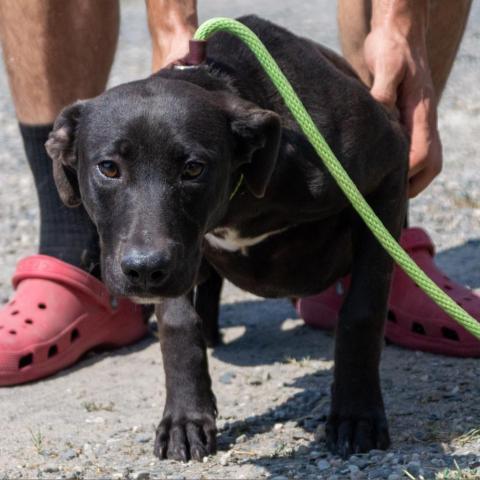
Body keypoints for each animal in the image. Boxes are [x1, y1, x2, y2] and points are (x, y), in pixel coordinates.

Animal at [45, 15, 406, 462]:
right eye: (109, 168)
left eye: (194, 168)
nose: (144, 271)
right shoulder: (180, 258)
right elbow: (178, 322)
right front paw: (185, 418)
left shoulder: (387, 173)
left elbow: (362, 309)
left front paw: (357, 414)